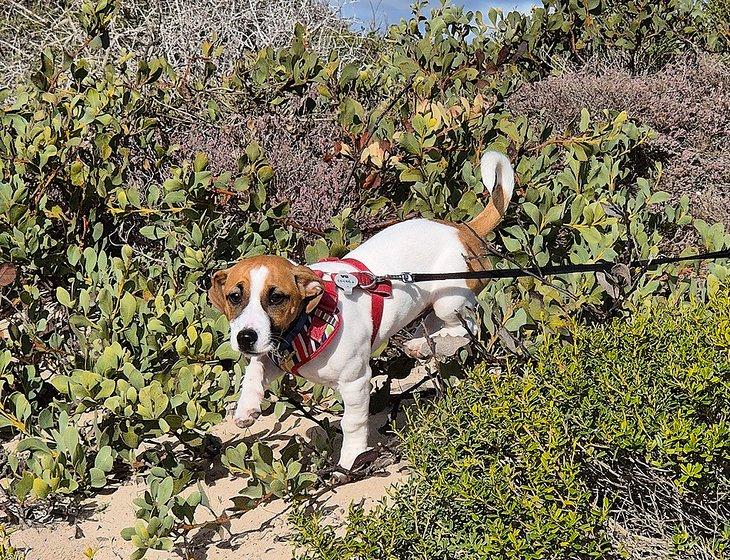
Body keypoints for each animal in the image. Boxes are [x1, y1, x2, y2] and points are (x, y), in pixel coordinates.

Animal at [205, 151, 512, 470]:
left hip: (449, 301)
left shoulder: (355, 383)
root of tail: (464, 230)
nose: (245, 338)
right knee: (433, 324)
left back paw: (435, 343)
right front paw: (247, 407)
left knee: (466, 327)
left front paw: (351, 459)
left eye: (276, 298)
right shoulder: (275, 354)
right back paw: (420, 344)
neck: (307, 325)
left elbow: (352, 424)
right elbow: (255, 368)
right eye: (234, 297)